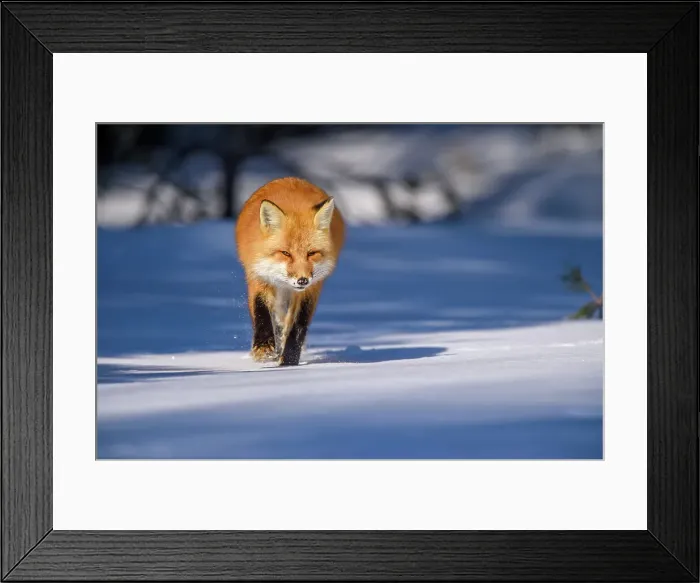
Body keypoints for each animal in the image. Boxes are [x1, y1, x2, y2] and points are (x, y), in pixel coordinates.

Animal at [235, 177, 345, 366]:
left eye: (311, 253)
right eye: (286, 253)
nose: (302, 280)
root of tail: (290, 179)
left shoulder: (312, 288)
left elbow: (298, 324)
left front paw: (289, 360)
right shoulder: (258, 276)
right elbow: (261, 311)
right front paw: (263, 348)